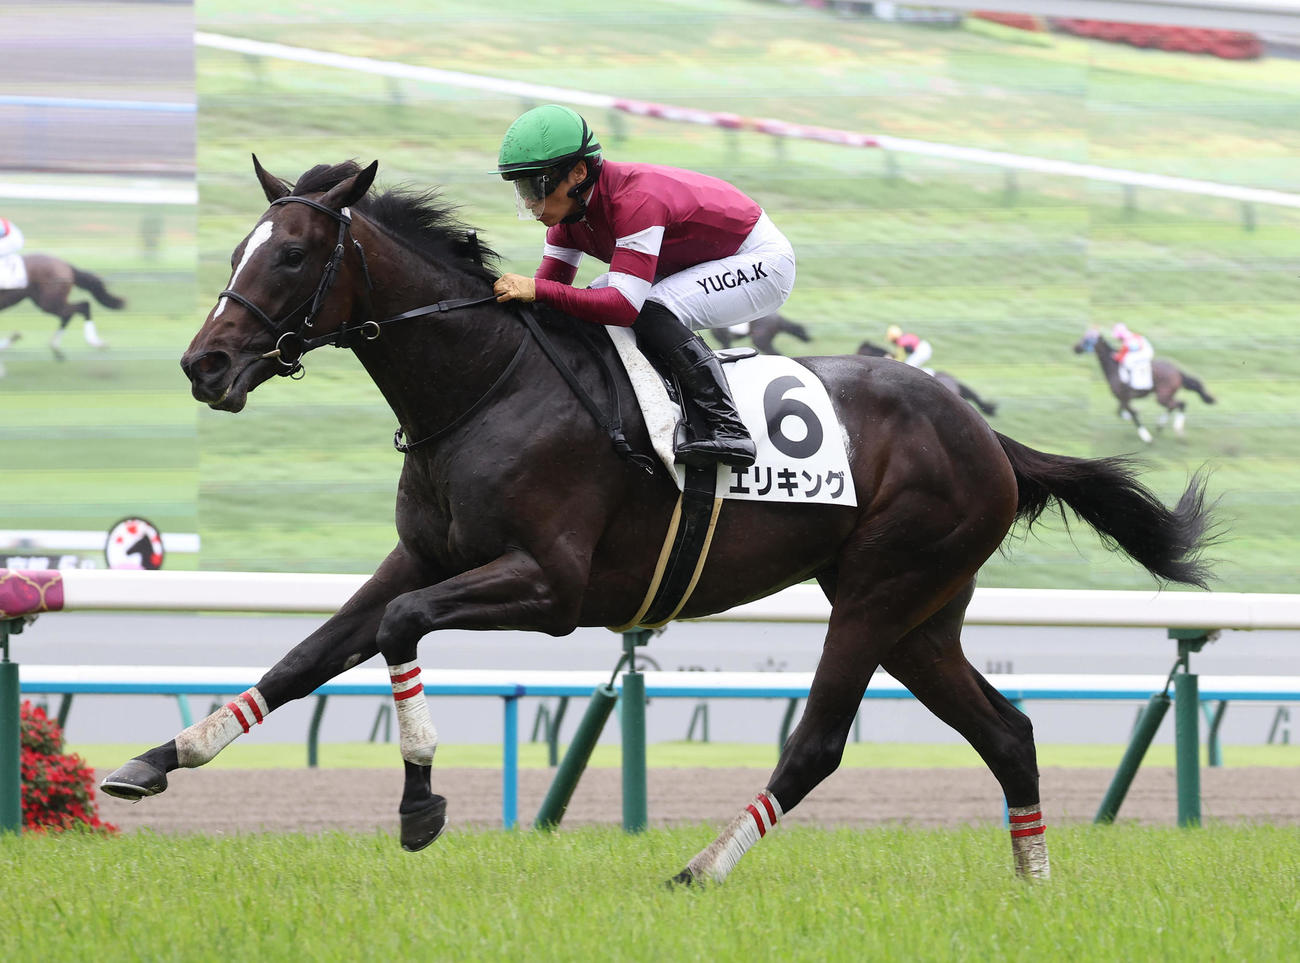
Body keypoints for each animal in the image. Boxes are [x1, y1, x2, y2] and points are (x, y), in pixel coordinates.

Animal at [1073, 328, 1216, 444]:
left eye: (1086, 339)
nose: (1075, 348)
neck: (1114, 368)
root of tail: (1178, 371)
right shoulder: (1123, 399)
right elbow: (1120, 412)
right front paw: (1131, 416)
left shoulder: (1124, 398)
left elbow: (1132, 415)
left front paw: (1147, 438)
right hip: (1165, 396)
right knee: (1172, 406)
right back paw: (1160, 426)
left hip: (1162, 396)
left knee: (1181, 404)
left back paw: (1178, 431)